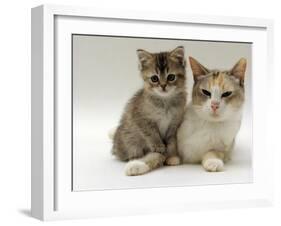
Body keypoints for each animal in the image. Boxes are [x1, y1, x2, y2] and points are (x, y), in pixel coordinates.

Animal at [111, 46, 186, 177]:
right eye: (154, 78)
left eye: (171, 77)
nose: (163, 86)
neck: (165, 102)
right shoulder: (141, 118)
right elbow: (151, 133)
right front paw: (159, 147)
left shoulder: (174, 123)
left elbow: (172, 141)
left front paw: (172, 156)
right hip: (130, 140)